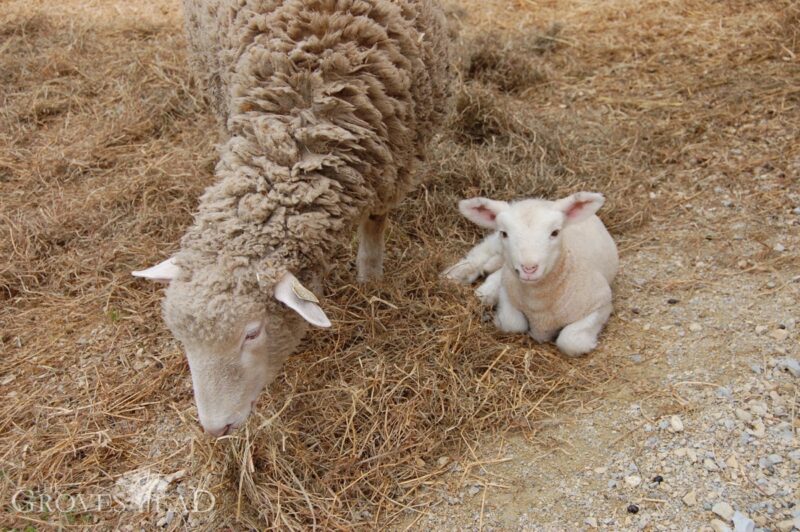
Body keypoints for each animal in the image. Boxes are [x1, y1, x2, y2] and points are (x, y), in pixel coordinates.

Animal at [134, 0, 454, 436]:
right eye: (180, 337)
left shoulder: (395, 160)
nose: (216, 429)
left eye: (252, 333)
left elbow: (375, 224)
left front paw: (371, 279)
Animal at [444, 192, 620, 358]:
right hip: (496, 246)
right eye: (504, 233)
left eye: (555, 232)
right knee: (482, 254)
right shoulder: (508, 293)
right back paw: (454, 275)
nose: (529, 268)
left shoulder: (601, 303)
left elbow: (570, 341)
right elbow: (512, 324)